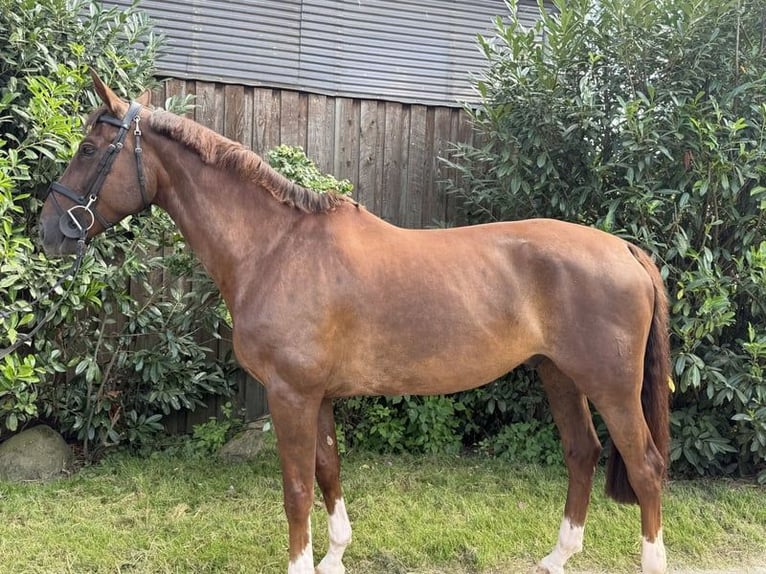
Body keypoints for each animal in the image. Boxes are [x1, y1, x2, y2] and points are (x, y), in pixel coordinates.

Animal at [40, 72, 671, 574]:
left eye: (90, 147)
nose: (49, 231)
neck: (276, 248)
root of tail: (625, 250)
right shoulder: (317, 397)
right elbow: (328, 471)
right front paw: (334, 557)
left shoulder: (290, 395)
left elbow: (297, 488)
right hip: (558, 374)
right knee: (582, 453)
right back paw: (557, 557)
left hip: (610, 387)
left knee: (645, 468)